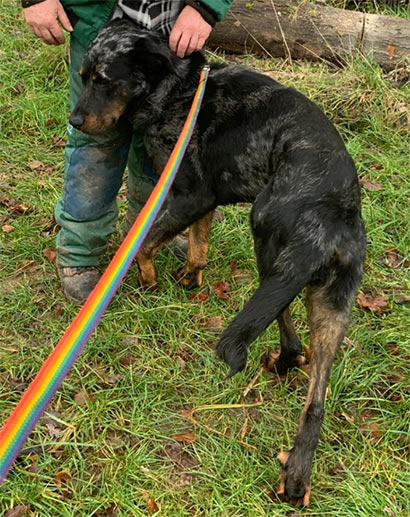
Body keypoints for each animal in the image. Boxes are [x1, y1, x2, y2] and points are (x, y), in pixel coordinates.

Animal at [70, 18, 366, 506]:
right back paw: (296, 473)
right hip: (329, 304)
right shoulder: (201, 200)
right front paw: (191, 276)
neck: (177, 89)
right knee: (315, 394)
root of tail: (330, 213)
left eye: (104, 81)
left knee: (290, 340)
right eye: (83, 76)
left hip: (267, 245)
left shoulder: (190, 194)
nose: (74, 122)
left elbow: (147, 243)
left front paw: (149, 279)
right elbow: (198, 241)